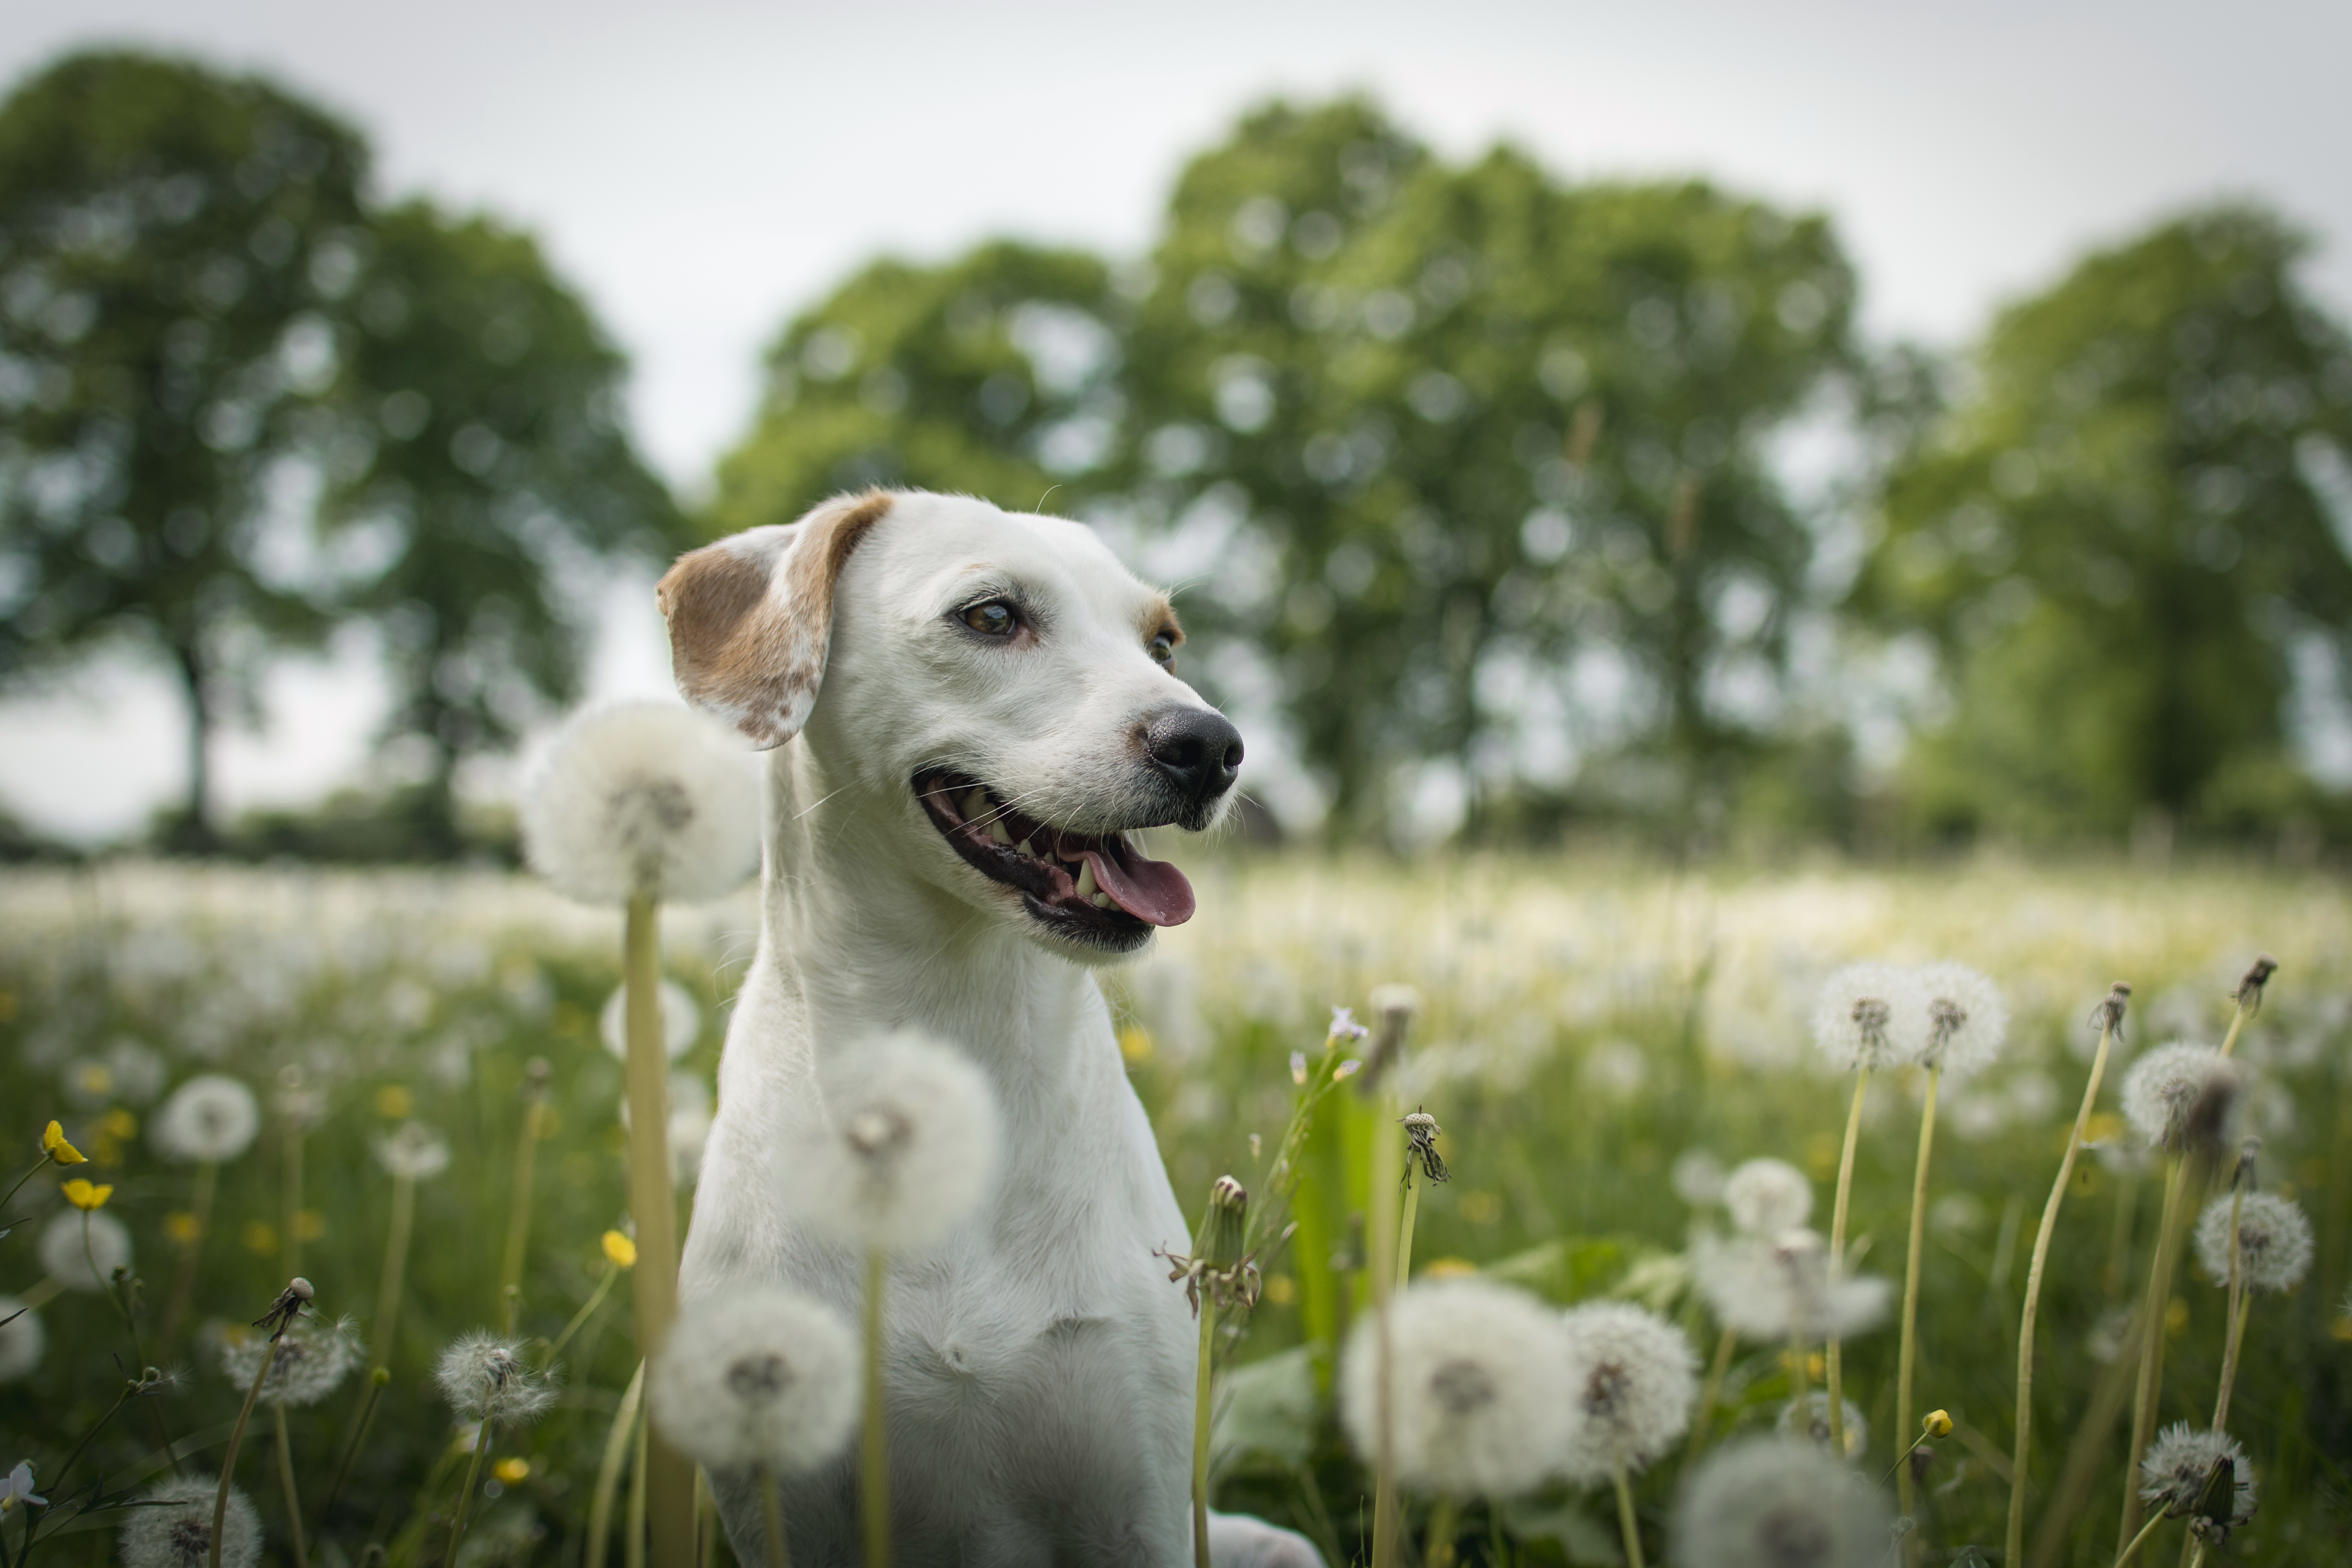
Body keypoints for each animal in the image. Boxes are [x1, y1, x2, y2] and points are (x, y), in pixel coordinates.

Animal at [663, 491, 1327, 1568]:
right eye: (991, 616)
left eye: (1164, 642)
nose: (1212, 746)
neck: (951, 1038)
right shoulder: (783, 1508)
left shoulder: (1140, 1502)